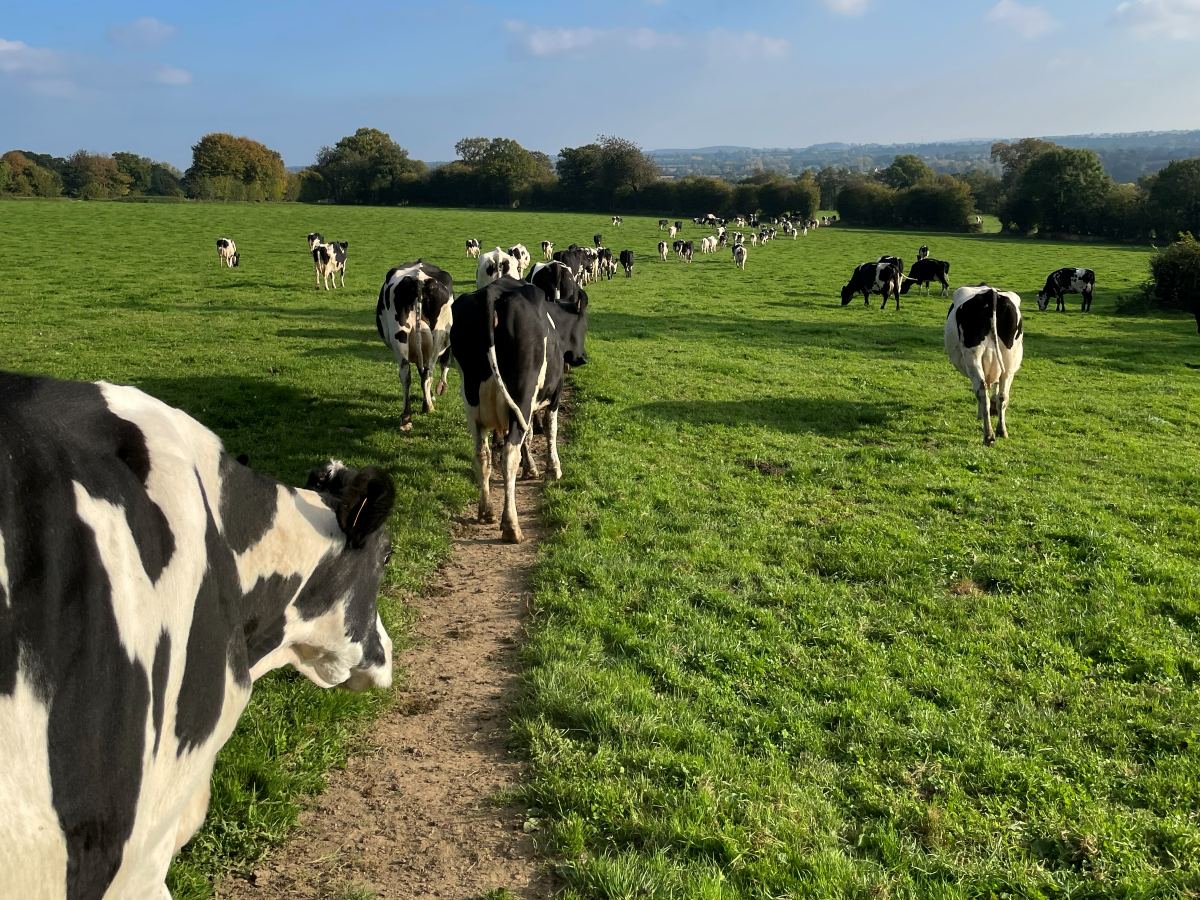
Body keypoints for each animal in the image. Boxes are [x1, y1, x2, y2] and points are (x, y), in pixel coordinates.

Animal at [376, 261, 456, 429]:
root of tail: (418, 280)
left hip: (401, 338)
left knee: (406, 374)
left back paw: (407, 417)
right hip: (435, 340)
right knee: (427, 372)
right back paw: (427, 406)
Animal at [449, 278, 588, 543]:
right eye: (584, 324)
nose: (583, 357)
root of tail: (491, 293)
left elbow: (530, 436)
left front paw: (530, 468)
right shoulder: (552, 395)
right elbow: (549, 430)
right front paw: (552, 469)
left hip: (472, 404)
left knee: (482, 454)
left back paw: (486, 512)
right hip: (520, 396)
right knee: (509, 454)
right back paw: (511, 525)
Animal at [945, 285, 1025, 445]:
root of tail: (991, 292)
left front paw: (980, 414)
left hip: (973, 357)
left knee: (981, 391)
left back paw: (988, 435)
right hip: (1009, 361)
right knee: (1003, 396)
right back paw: (1001, 430)